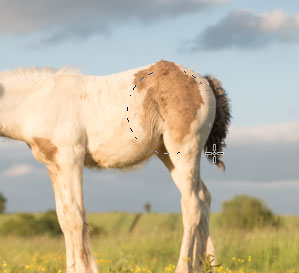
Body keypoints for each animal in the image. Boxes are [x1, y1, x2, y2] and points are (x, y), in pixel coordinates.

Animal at [0, 60, 232, 272]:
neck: (38, 102)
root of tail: (205, 81)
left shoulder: (70, 157)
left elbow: (75, 216)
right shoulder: (54, 164)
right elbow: (64, 218)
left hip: (184, 150)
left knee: (192, 204)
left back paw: (184, 267)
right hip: (167, 154)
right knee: (203, 197)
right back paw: (205, 265)